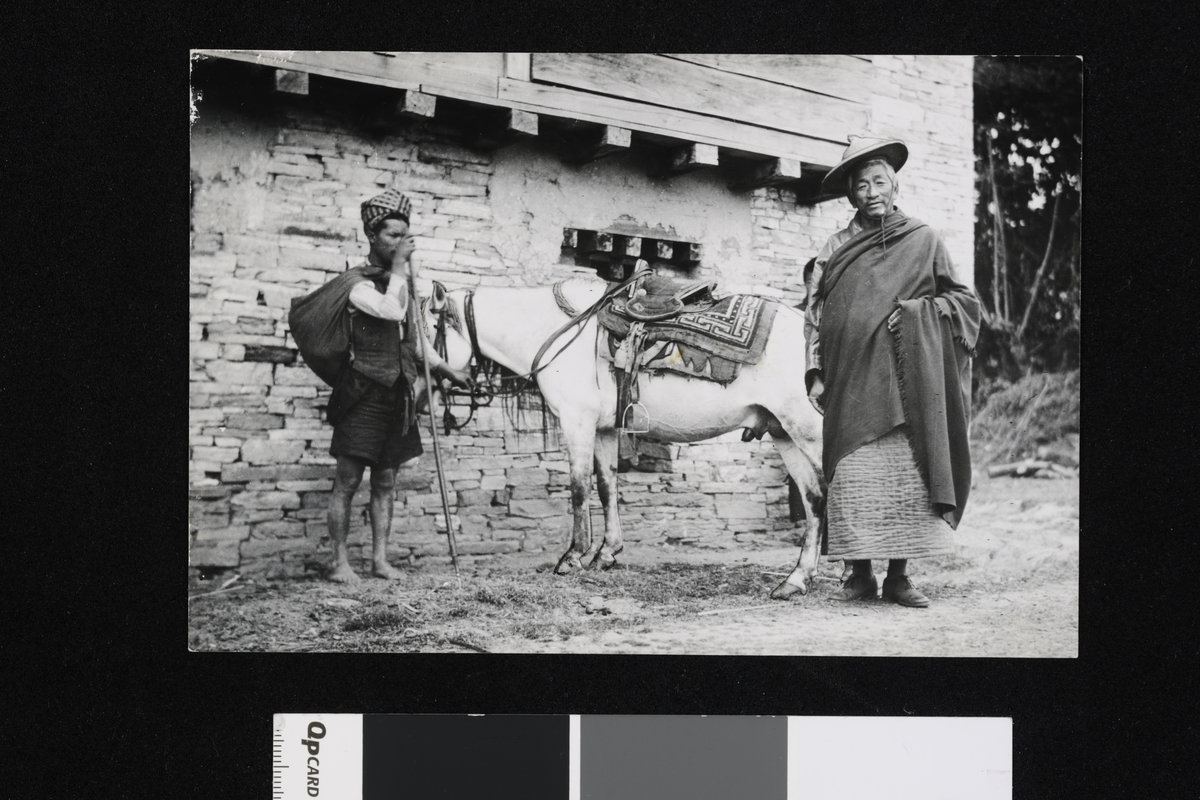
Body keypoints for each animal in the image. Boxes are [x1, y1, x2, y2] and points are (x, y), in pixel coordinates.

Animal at [422, 278, 825, 597]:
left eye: (429, 327)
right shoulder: (603, 428)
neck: (556, 329)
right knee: (814, 499)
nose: (422, 388)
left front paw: (572, 557)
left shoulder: (577, 421)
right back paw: (796, 580)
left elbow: (579, 487)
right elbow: (606, 485)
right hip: (784, 432)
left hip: (808, 431)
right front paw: (606, 553)